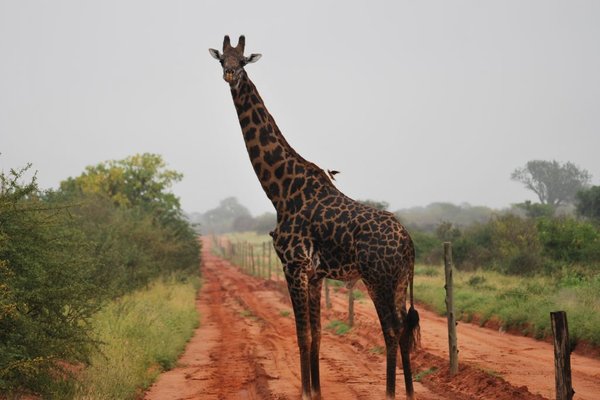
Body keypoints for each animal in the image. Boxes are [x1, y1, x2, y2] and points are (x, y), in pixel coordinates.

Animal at [211, 35, 422, 400]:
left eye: (244, 60)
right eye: (222, 59)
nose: (230, 75)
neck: (280, 190)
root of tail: (409, 243)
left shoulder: (293, 265)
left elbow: (302, 334)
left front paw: (306, 393)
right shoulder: (314, 274)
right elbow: (317, 334)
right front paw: (317, 392)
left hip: (378, 278)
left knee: (392, 331)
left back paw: (390, 393)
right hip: (397, 282)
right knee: (404, 331)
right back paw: (408, 393)